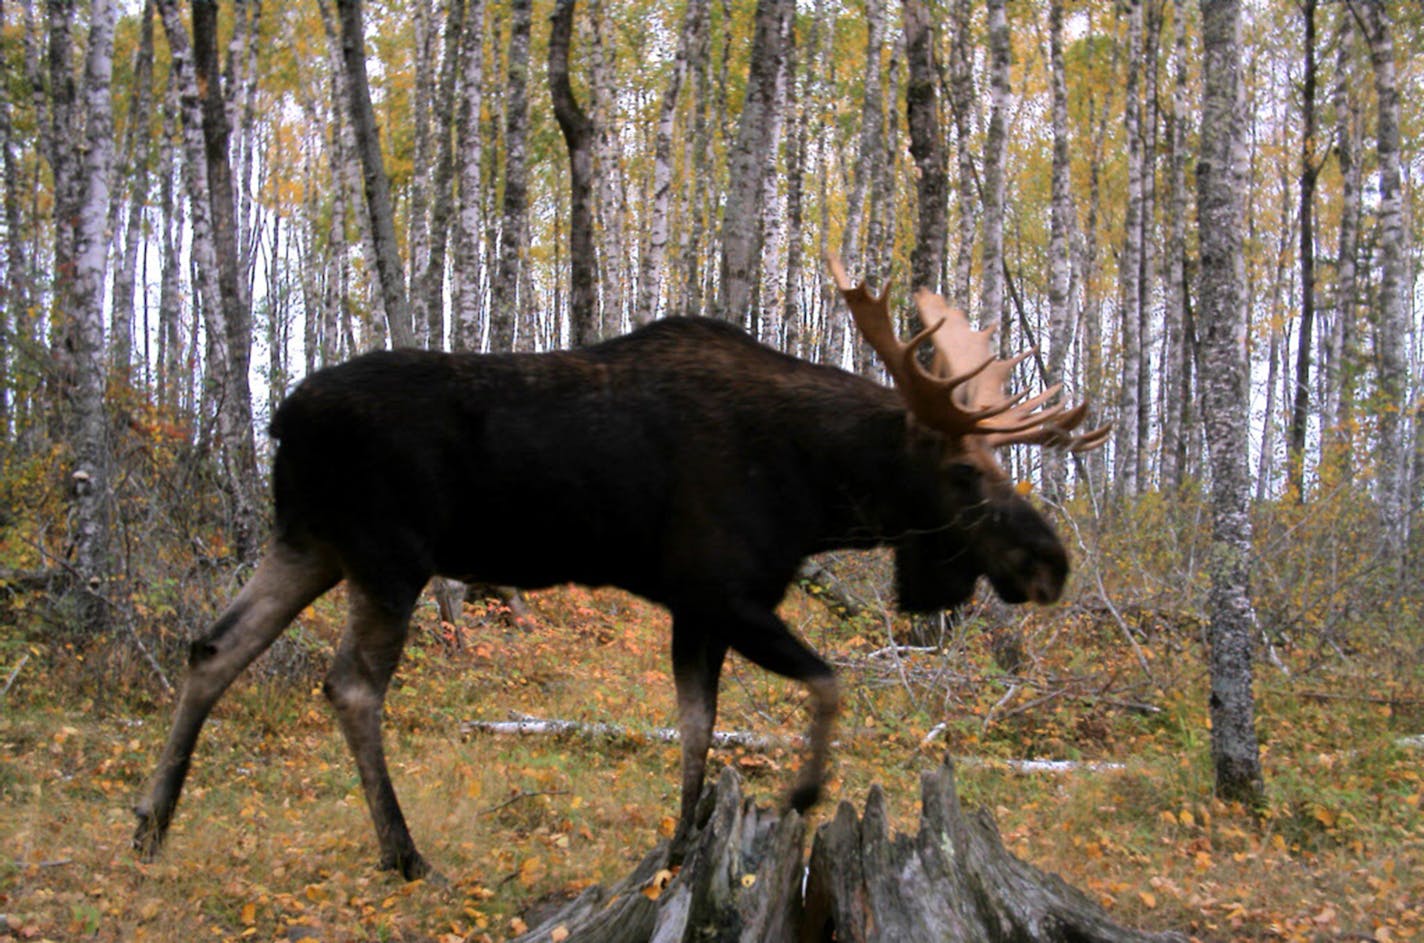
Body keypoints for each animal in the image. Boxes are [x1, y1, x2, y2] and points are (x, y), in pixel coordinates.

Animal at [133, 256, 1105, 877]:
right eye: (964, 471)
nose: (1050, 563)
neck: (818, 491)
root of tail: (281, 419)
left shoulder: (697, 607)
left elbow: (697, 728)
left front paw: (682, 845)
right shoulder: (723, 589)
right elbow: (827, 685)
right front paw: (801, 790)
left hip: (310, 544)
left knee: (213, 648)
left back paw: (151, 824)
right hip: (387, 557)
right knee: (350, 686)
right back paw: (404, 853)